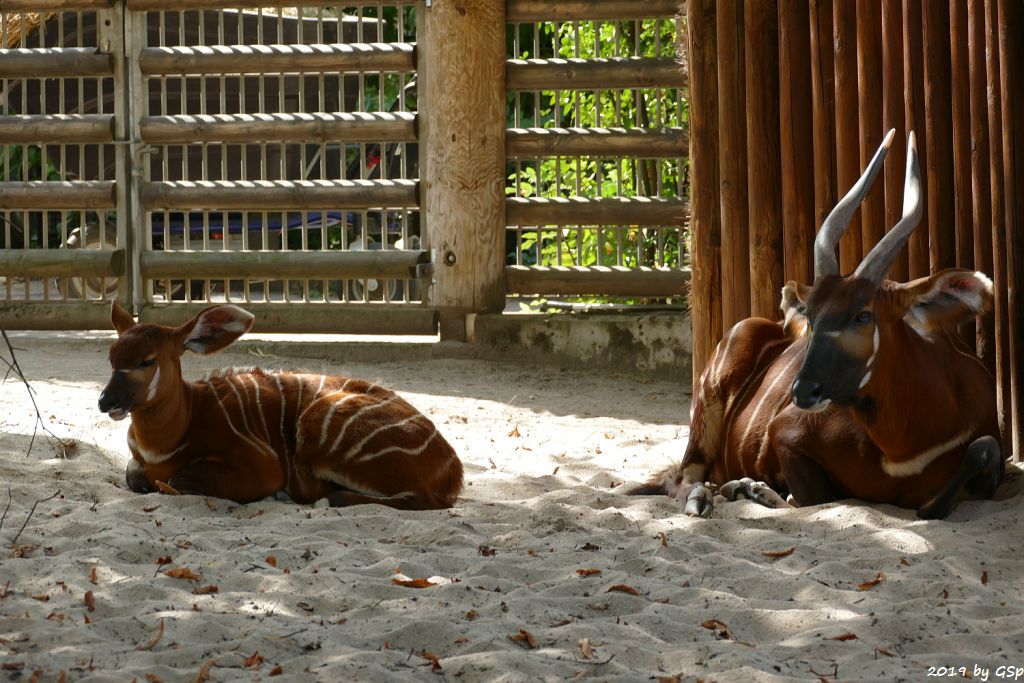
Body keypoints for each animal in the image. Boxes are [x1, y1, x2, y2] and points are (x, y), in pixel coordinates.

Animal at [96, 301, 464, 509]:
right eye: (111, 357)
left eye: (147, 360)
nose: (105, 401)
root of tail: (452, 467)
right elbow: (135, 477)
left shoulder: (263, 466)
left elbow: (177, 479)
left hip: (319, 426)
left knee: (422, 499)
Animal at [630, 131, 999, 520]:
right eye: (811, 314)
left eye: (863, 314)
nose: (803, 390)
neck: (904, 449)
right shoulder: (784, 431)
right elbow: (811, 498)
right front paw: (751, 488)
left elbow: (978, 455)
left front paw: (751, 488)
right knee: (682, 478)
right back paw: (705, 497)